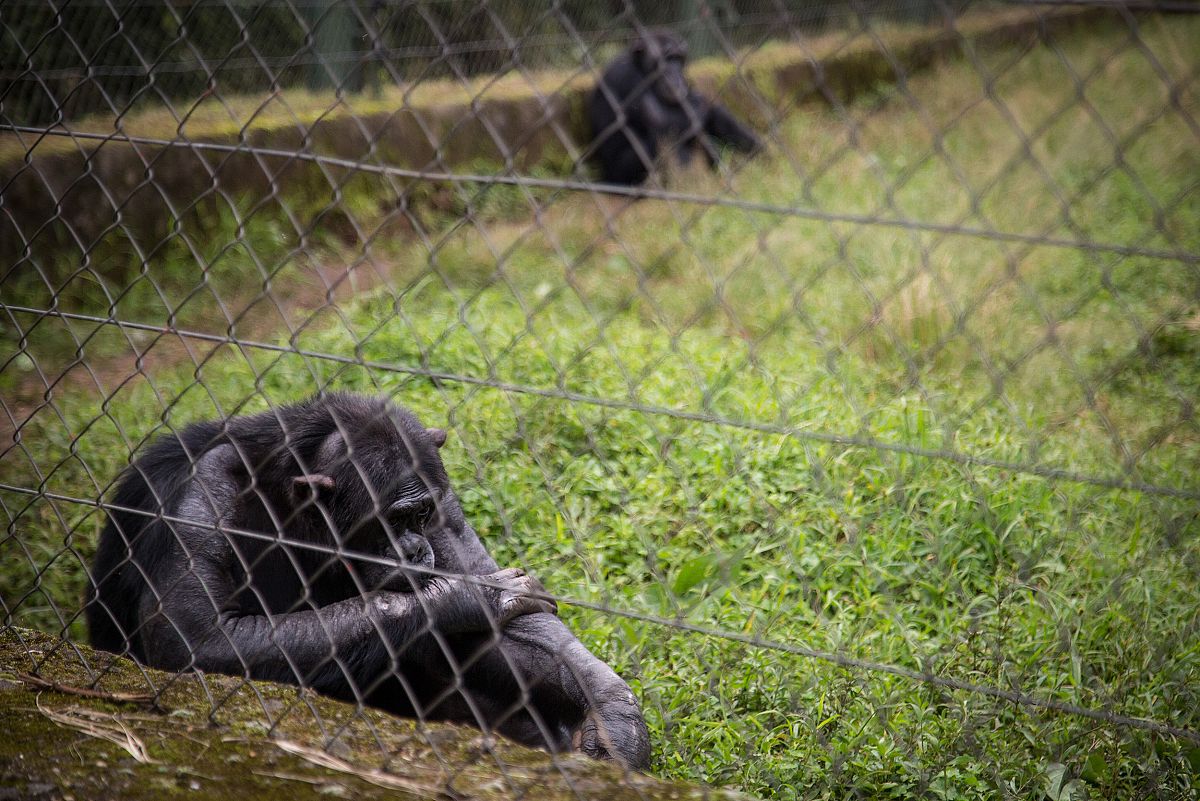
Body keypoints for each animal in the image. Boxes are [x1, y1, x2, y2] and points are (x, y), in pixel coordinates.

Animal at [87, 393, 652, 767]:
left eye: (421, 515)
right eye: (393, 520)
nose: (418, 548)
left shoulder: (443, 496)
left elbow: (521, 629)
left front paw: (612, 719)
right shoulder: (200, 496)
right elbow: (195, 639)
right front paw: (472, 597)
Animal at [588, 28, 763, 185]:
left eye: (678, 58)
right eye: (667, 59)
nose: (675, 75)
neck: (642, 68)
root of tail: (606, 177)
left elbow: (711, 113)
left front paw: (758, 148)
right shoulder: (631, 79)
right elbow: (660, 119)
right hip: (620, 173)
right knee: (656, 142)